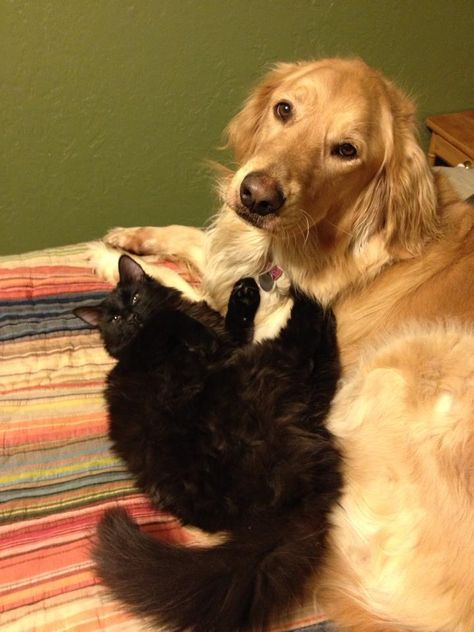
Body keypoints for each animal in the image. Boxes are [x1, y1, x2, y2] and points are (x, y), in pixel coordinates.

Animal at [75, 256, 340, 632]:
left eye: (135, 297)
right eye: (113, 319)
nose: (130, 316)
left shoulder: (228, 339)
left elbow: (230, 325)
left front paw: (243, 298)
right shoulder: (153, 342)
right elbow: (169, 324)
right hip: (258, 370)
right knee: (305, 346)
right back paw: (308, 296)